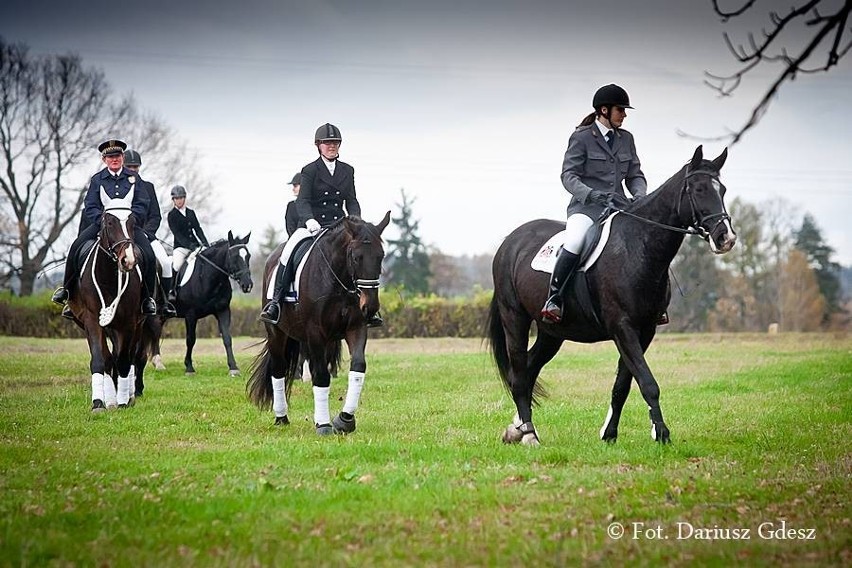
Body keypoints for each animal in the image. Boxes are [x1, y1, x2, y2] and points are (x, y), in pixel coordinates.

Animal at [170, 231, 253, 378]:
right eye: (234, 257)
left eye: (248, 256)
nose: (247, 285)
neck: (207, 277)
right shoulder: (190, 315)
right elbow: (190, 339)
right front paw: (189, 368)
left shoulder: (223, 310)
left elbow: (227, 337)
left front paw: (233, 368)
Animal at [248, 213, 392, 434]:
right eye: (355, 257)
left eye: (381, 256)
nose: (370, 307)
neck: (338, 280)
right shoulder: (315, 332)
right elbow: (322, 376)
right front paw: (323, 424)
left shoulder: (356, 328)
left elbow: (358, 367)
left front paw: (345, 419)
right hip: (277, 333)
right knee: (278, 369)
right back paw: (281, 417)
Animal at [490, 149, 736, 446]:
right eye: (698, 189)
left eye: (722, 189)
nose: (726, 238)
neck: (638, 246)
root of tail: (509, 241)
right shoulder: (623, 327)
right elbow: (648, 383)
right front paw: (661, 433)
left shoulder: (645, 330)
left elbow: (623, 384)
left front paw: (609, 434)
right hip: (515, 318)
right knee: (518, 373)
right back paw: (528, 434)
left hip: (552, 331)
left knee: (529, 368)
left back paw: (516, 428)